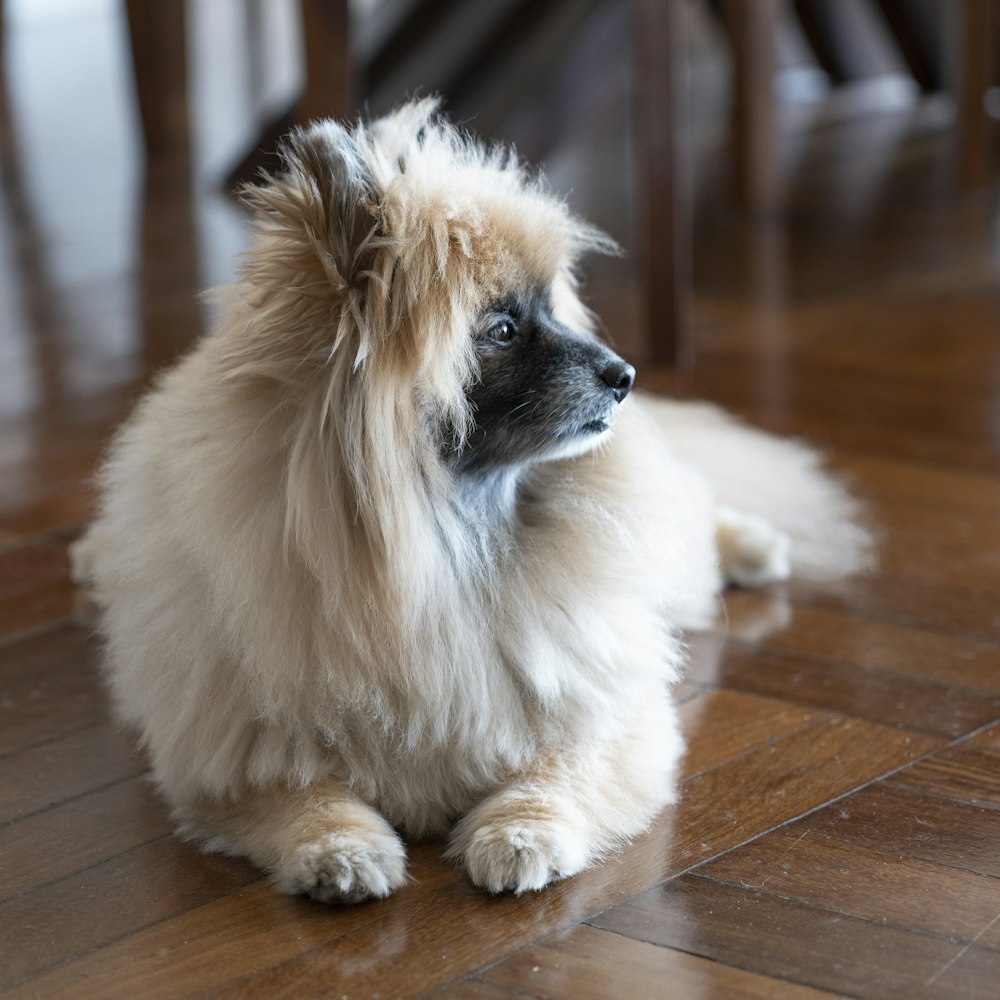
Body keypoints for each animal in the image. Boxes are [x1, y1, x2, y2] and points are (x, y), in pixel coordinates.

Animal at [74, 97, 872, 904]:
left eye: (552, 310)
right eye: (503, 329)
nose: (624, 374)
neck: (435, 554)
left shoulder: (604, 709)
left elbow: (556, 771)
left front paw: (520, 836)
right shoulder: (230, 754)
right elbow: (300, 795)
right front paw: (340, 852)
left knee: (696, 513)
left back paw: (754, 547)